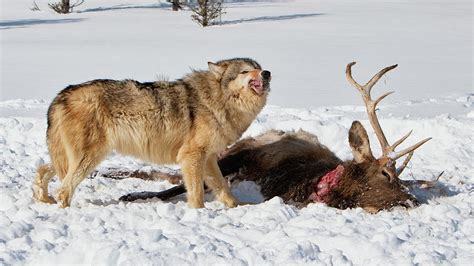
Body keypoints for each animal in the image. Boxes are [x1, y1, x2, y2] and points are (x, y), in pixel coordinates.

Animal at [32, 57, 270, 208]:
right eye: (245, 71)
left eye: (258, 67)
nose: (267, 72)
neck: (218, 99)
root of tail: (61, 95)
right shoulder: (192, 156)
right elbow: (197, 193)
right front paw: (197, 213)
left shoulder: (209, 158)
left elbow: (223, 188)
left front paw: (238, 206)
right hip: (89, 158)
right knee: (63, 189)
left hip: (73, 158)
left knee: (42, 170)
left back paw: (44, 200)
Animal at [120, 61, 432, 212]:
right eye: (386, 174)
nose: (413, 200)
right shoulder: (241, 157)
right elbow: (173, 188)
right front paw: (133, 195)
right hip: (234, 151)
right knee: (160, 175)